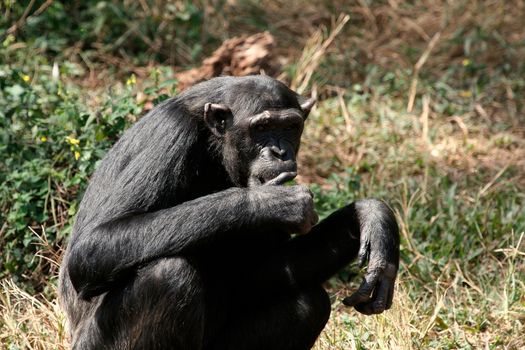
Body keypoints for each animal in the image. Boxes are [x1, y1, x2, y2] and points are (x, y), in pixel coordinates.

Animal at [59, 76, 400, 350]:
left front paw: (372, 218)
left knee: (309, 305)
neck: (215, 143)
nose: (279, 151)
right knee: (167, 275)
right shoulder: (169, 136)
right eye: (261, 128)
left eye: (290, 126)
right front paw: (271, 202)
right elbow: (92, 247)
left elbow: (260, 271)